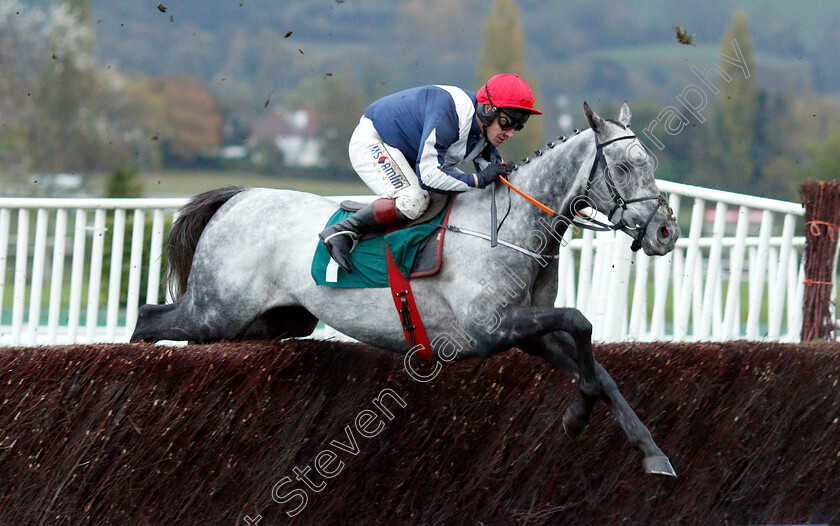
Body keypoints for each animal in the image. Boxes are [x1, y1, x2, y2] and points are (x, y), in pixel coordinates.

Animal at [131, 102, 684, 478]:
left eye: (653, 164)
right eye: (626, 167)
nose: (665, 232)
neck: (510, 226)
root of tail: (238, 196)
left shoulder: (529, 333)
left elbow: (600, 368)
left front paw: (650, 451)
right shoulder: (488, 328)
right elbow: (580, 320)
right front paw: (576, 415)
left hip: (271, 320)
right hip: (215, 309)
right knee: (147, 317)